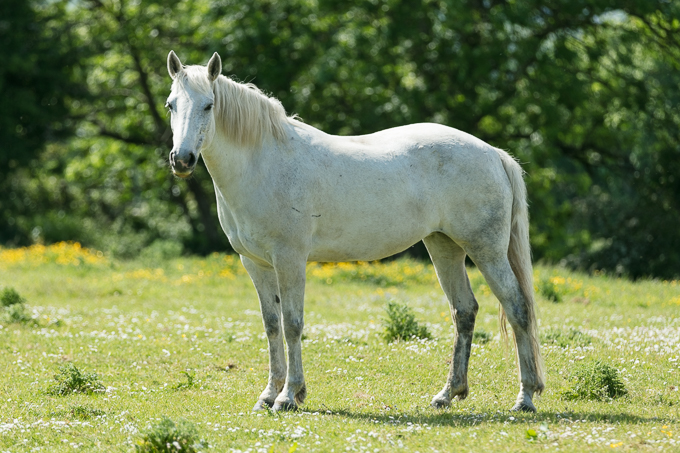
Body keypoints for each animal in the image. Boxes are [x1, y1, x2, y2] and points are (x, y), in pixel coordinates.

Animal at [164, 50, 544, 412]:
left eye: (209, 105)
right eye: (171, 104)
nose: (181, 160)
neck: (263, 164)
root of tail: (493, 154)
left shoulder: (289, 259)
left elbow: (292, 324)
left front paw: (288, 396)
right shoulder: (255, 264)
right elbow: (271, 326)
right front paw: (269, 395)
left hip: (486, 251)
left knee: (517, 307)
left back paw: (525, 397)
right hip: (444, 247)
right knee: (464, 312)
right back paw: (447, 394)